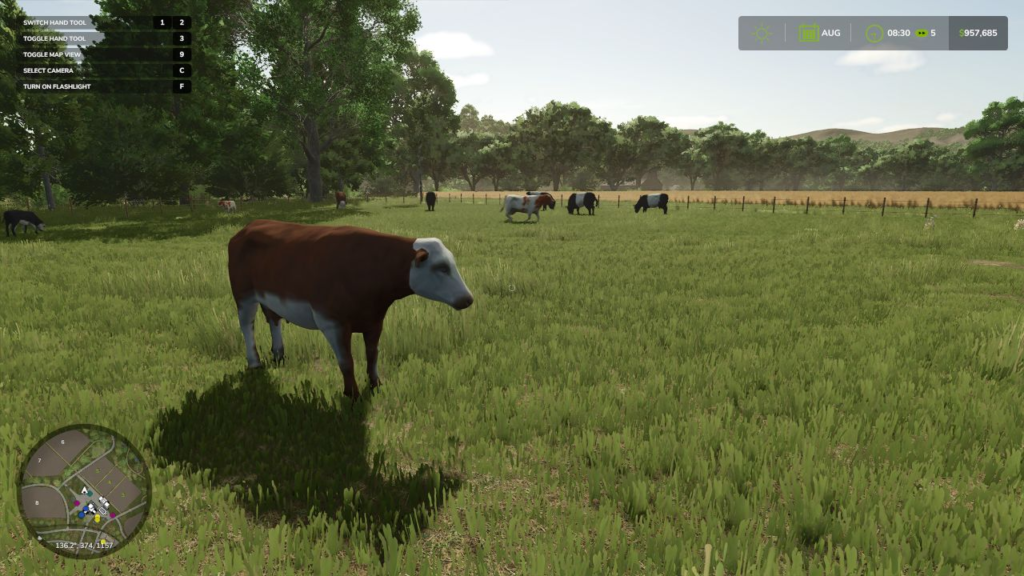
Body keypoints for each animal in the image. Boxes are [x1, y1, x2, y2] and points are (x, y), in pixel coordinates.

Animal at [227, 220, 474, 400]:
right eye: (441, 267)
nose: (468, 299)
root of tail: (249, 226)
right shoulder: (332, 322)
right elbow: (346, 361)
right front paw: (352, 394)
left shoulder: (374, 320)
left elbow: (372, 354)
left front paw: (375, 384)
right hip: (244, 295)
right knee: (246, 325)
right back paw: (255, 362)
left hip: (267, 297)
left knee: (273, 319)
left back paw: (279, 355)